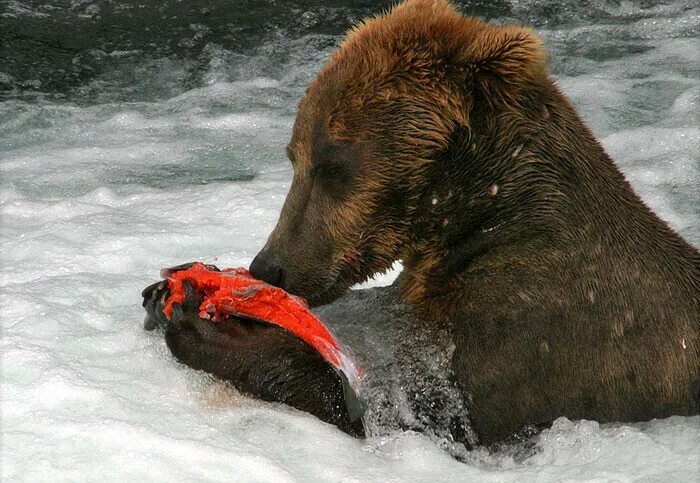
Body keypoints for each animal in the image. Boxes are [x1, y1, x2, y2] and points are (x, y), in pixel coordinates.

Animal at [145, 0, 696, 446]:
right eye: (294, 156)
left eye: (332, 165)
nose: (269, 266)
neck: (484, 218)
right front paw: (167, 289)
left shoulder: (546, 327)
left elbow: (423, 419)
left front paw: (224, 329)